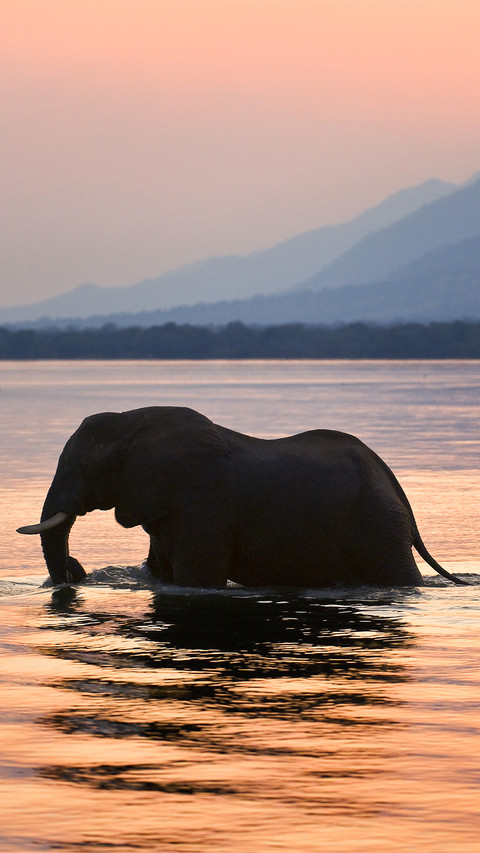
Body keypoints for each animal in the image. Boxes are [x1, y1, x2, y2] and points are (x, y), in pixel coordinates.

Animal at [17, 405, 468, 587]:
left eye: (82, 468)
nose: (75, 568)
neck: (133, 422)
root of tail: (393, 482)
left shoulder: (205, 510)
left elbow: (196, 581)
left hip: (376, 521)